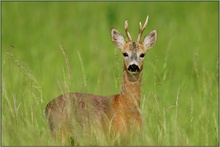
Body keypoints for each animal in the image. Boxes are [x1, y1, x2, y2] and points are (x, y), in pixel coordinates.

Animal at [45, 15, 157, 144]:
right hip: (59, 133)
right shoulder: (112, 136)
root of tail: (46, 108)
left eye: (142, 54)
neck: (125, 106)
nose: (133, 66)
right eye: (125, 53)